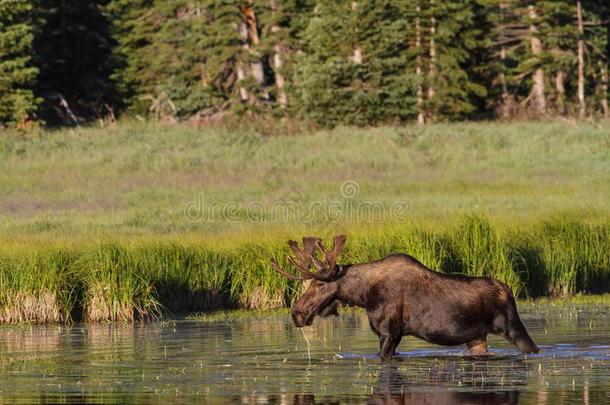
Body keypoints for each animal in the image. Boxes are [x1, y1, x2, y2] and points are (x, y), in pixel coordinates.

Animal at [270, 235, 536, 358]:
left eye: (318, 284)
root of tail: (509, 290)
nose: (297, 313)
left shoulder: (389, 332)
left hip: (512, 326)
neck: (363, 295)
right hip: (476, 338)